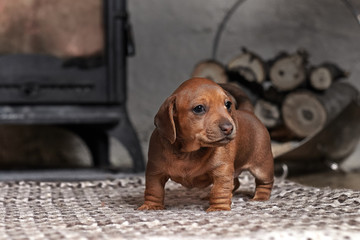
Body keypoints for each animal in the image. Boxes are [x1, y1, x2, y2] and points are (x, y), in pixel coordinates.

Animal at [138, 78, 272, 211]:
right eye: (199, 108)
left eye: (228, 104)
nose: (229, 128)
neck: (189, 153)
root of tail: (248, 112)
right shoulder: (155, 172)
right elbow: (154, 190)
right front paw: (151, 206)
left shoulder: (222, 172)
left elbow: (220, 190)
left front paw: (219, 208)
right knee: (235, 183)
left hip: (262, 167)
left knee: (264, 183)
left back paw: (260, 198)